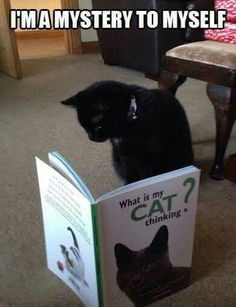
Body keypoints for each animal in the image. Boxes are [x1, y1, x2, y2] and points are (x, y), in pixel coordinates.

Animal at [61, 80, 194, 184]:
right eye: (85, 128)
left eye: (97, 126)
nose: (91, 137)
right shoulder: (125, 155)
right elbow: (130, 172)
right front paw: (129, 185)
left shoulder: (149, 157)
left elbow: (148, 176)